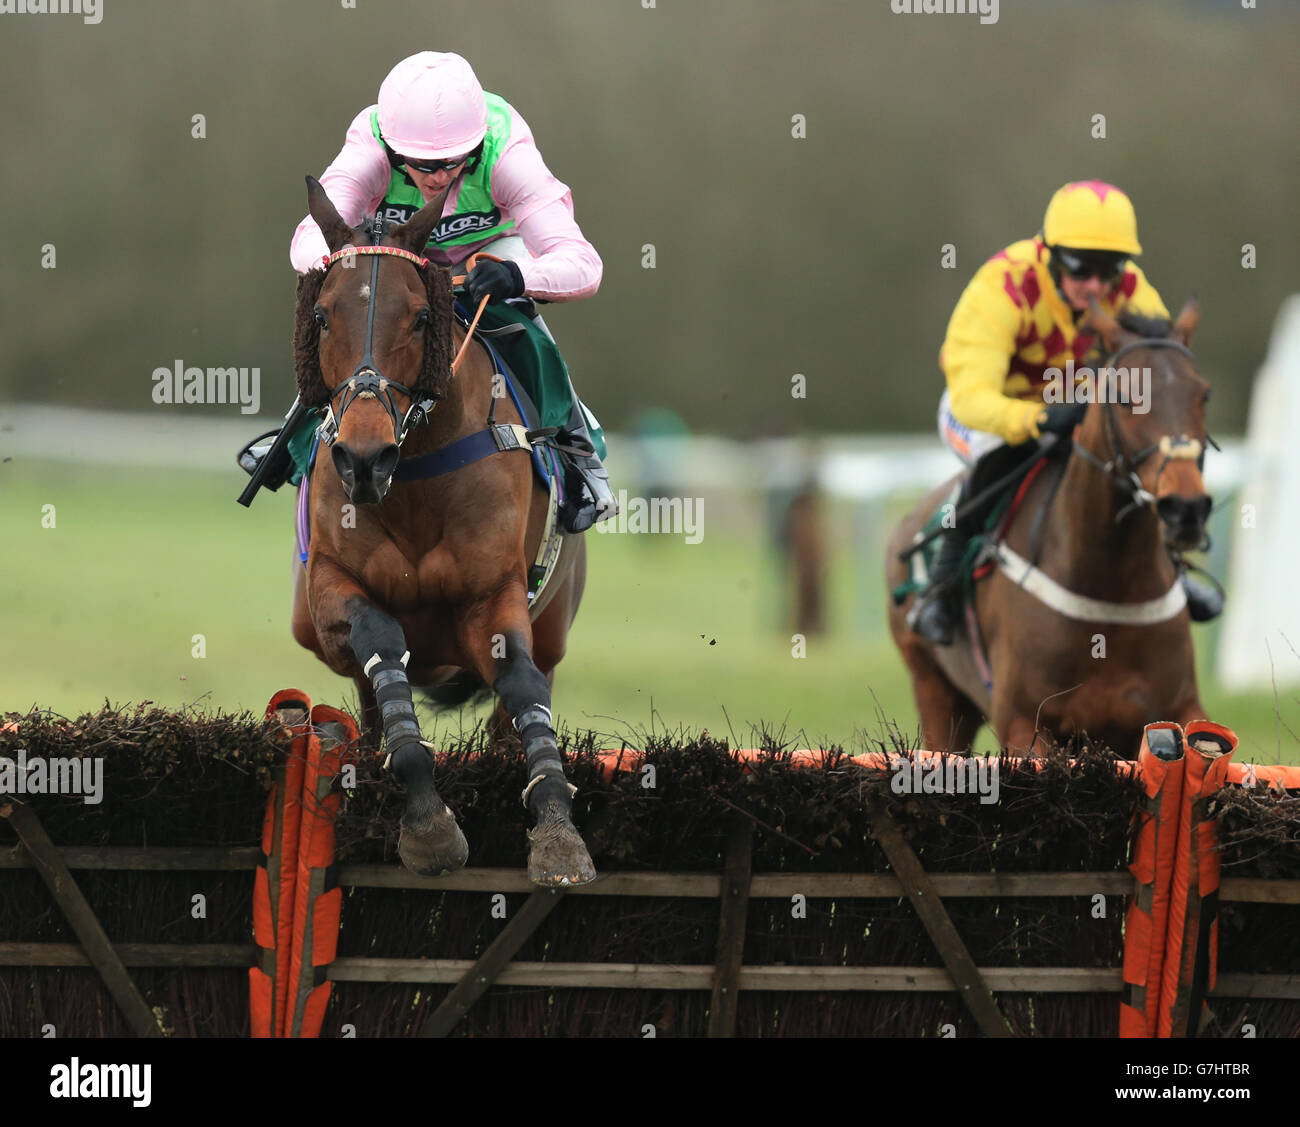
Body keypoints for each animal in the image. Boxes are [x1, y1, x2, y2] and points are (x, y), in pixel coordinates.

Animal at [288, 176, 595, 883]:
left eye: (421, 317)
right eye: (323, 316)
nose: (364, 459)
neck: (415, 476)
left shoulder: (493, 596)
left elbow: (521, 684)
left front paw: (557, 829)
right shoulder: (329, 594)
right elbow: (380, 643)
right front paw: (427, 820)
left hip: (554, 624)